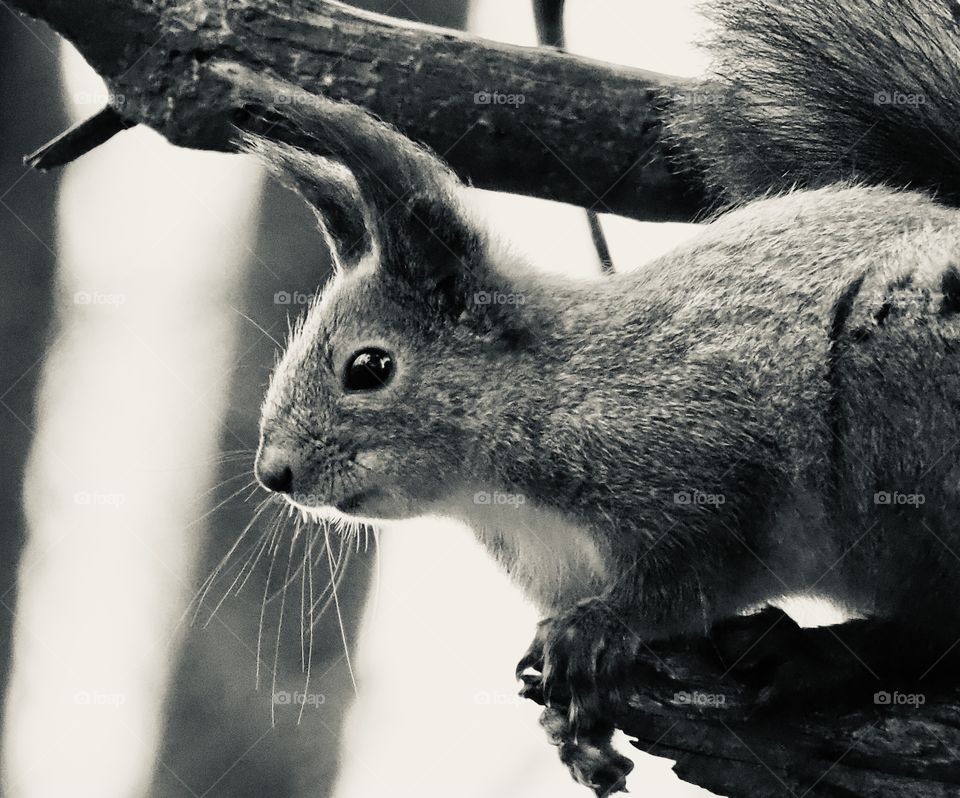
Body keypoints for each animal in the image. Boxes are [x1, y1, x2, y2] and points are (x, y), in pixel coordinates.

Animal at [241, 0, 960, 793]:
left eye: (369, 367)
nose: (273, 474)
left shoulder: (704, 464)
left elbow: (687, 576)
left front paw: (596, 630)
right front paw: (572, 735)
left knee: (939, 634)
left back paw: (820, 657)